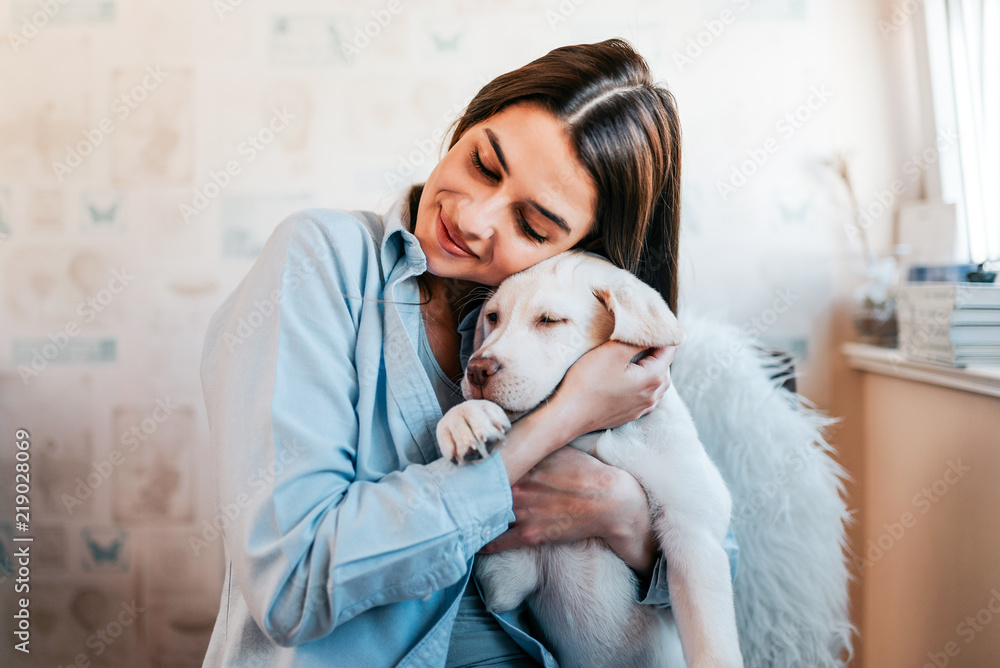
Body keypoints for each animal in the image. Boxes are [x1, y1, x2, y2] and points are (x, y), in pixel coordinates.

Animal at [438, 250, 744, 668]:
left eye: (550, 321)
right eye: (493, 317)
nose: (477, 370)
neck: (594, 434)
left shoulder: (695, 537)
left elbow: (712, 647)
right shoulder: (505, 580)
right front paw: (465, 419)